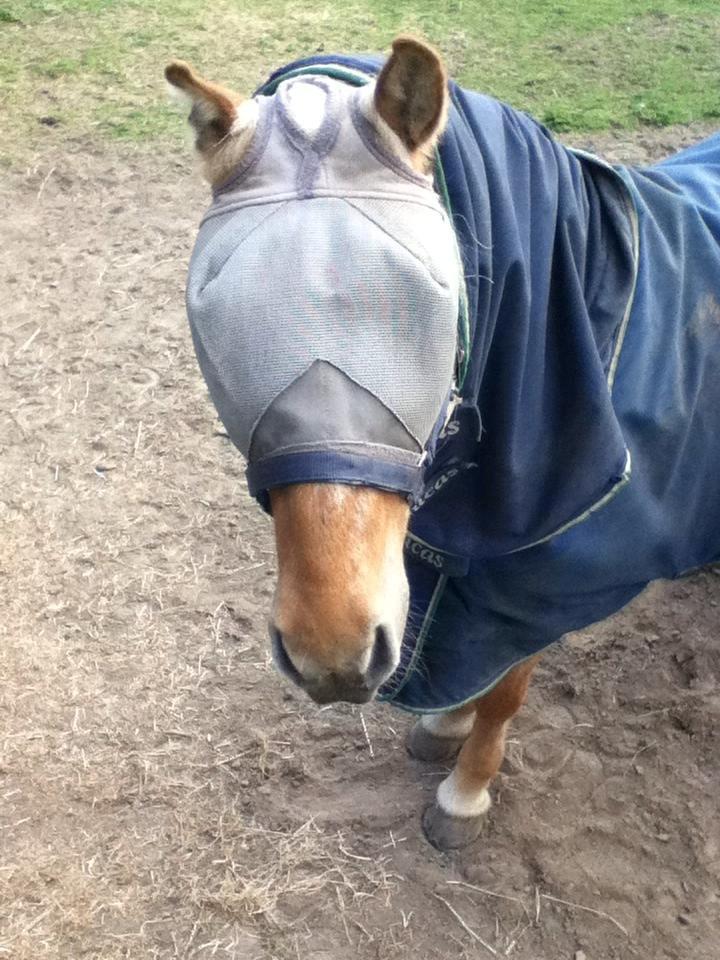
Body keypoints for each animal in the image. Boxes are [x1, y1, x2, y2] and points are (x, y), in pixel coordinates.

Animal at [166, 35, 720, 848]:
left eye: (428, 310)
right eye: (215, 322)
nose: (331, 653)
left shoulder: (538, 581)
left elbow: (505, 687)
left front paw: (465, 792)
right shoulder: (464, 573)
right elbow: (467, 659)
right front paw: (444, 727)